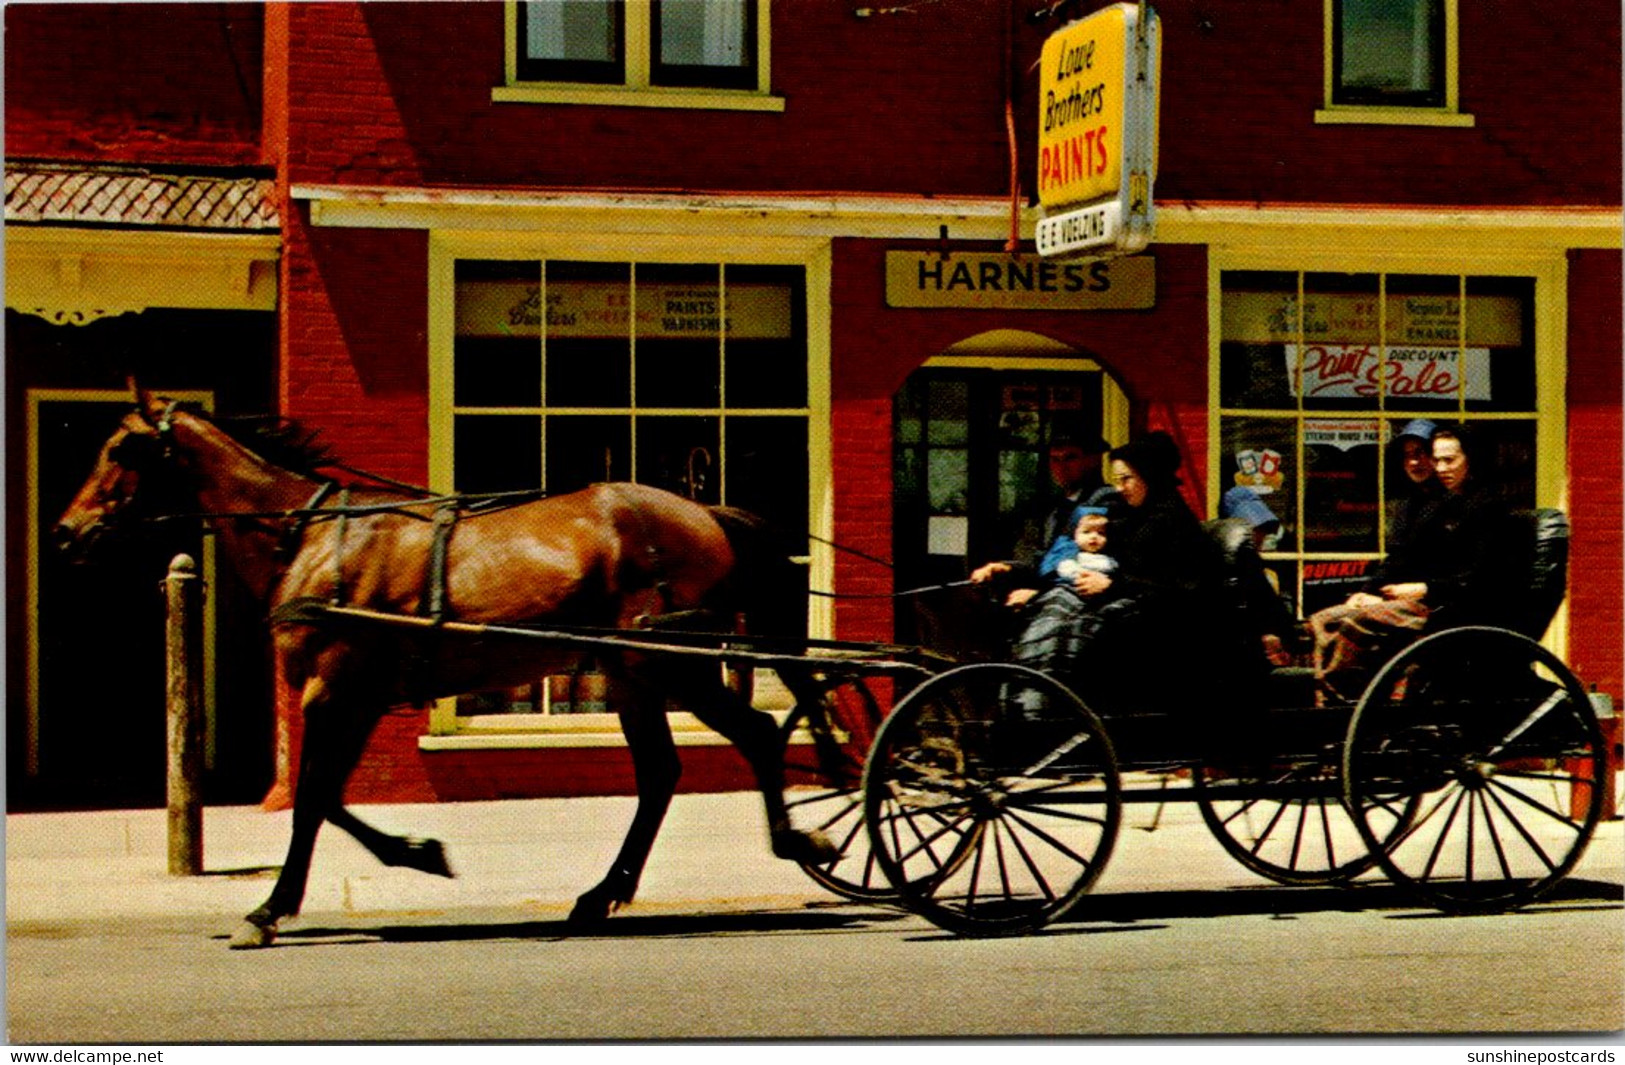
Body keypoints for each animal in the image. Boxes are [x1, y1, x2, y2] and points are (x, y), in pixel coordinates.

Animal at [54, 383, 838, 949]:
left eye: (122, 447)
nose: (66, 531)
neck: (307, 536)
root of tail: (707, 514)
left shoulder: (334, 688)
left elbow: (311, 798)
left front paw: (271, 907)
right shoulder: (355, 695)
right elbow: (326, 795)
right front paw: (415, 850)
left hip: (670, 664)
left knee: (753, 734)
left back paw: (796, 837)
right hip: (635, 672)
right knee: (661, 774)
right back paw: (601, 894)